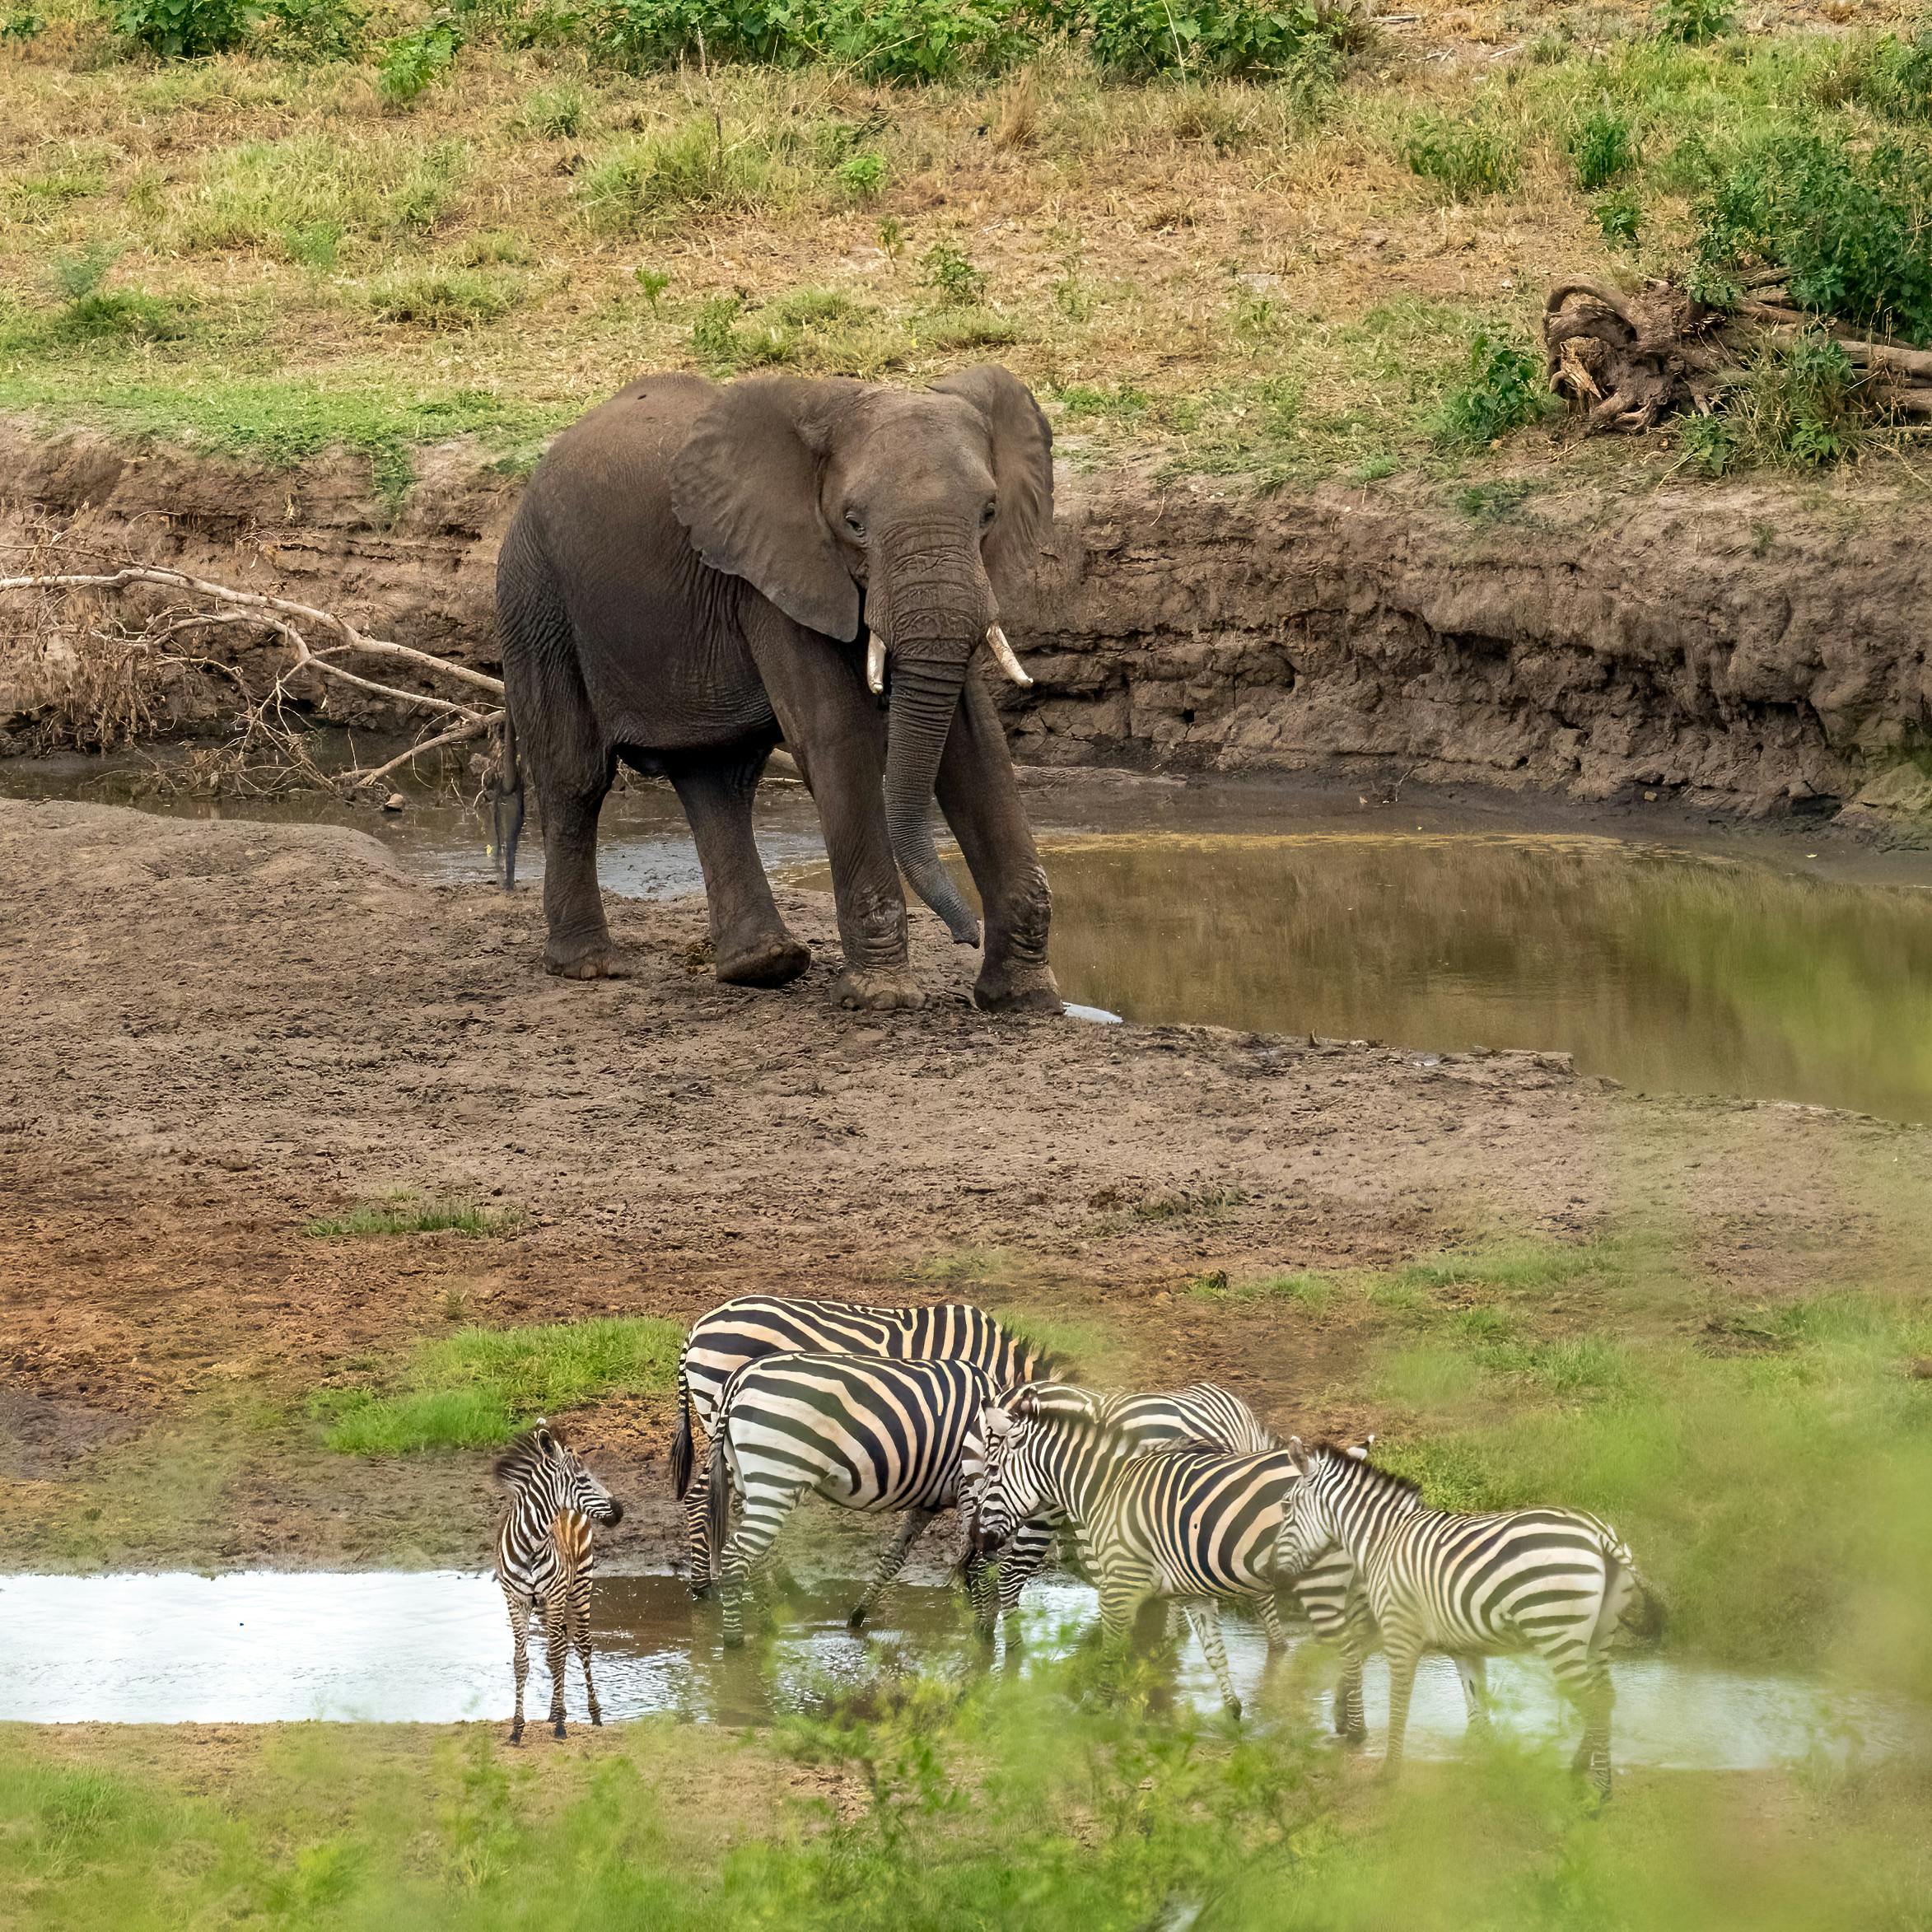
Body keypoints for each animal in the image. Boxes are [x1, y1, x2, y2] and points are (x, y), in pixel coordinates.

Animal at [491, 365, 1062, 1014]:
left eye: (989, 513)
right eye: (853, 523)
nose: (966, 935)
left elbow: (976, 744)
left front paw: (1023, 999)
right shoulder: (774, 573)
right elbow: (835, 734)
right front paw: (883, 999)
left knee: (717, 778)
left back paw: (765, 964)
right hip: (536, 596)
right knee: (576, 776)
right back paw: (590, 966)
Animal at [493, 1419, 624, 1744]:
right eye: (582, 1479)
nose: (619, 1511)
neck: (532, 1543)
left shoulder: (553, 1596)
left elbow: (554, 1657)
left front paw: (561, 1727)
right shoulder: (516, 1601)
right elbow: (522, 1662)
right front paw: (517, 1729)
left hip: (580, 1585)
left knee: (581, 1645)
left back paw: (593, 1714)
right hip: (544, 1603)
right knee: (562, 1644)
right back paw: (555, 1711)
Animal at [702, 1352, 997, 1646]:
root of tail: (741, 1377)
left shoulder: (930, 1501)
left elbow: (894, 1558)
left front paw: (856, 1618)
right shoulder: (974, 1487)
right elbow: (981, 1565)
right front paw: (986, 1637)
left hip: (748, 1479)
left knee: (755, 1556)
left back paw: (769, 1624)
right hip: (776, 1478)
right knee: (736, 1556)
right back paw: (735, 1642)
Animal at [1271, 1438, 1664, 1801]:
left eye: (1286, 1506)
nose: (1273, 1571)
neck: (1384, 1540)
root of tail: (1598, 1534)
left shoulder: (1400, 1634)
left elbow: (1400, 1702)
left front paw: (1388, 1773)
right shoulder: (1465, 1648)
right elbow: (1478, 1713)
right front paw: (1485, 1775)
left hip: (1556, 1633)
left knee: (1593, 1702)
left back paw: (1601, 1793)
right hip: (1600, 1634)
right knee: (1606, 1697)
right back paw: (1580, 1770)